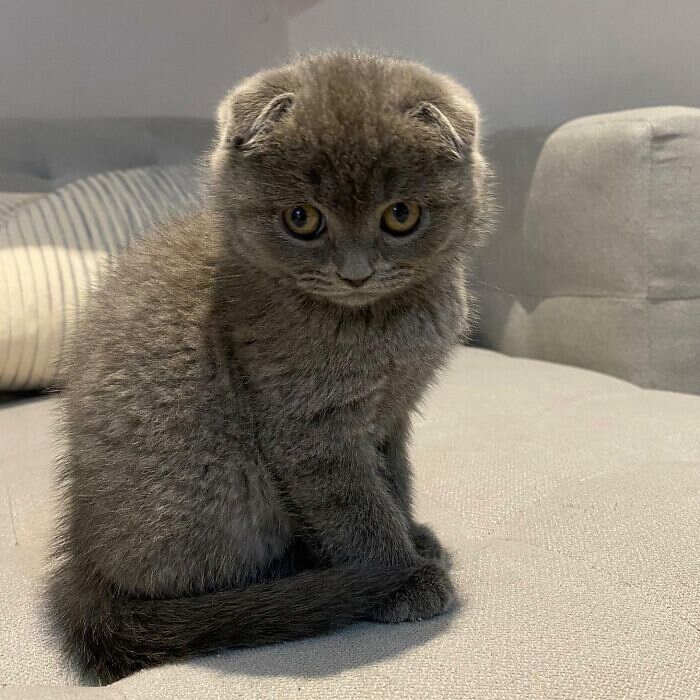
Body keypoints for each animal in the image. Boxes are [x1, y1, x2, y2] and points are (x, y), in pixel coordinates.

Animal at [46, 50, 490, 684]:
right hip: (218, 486)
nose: (356, 273)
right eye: (302, 218)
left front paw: (413, 535)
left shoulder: (391, 415)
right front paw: (398, 576)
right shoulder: (307, 427)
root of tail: (84, 561)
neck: (378, 323)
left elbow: (395, 480)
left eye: (401, 215)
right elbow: (356, 509)